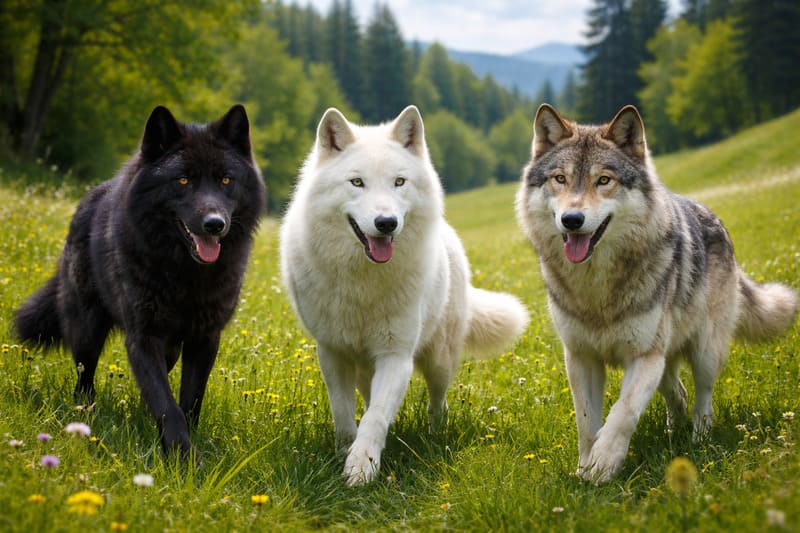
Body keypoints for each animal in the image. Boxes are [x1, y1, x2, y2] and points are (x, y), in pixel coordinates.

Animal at [15, 105, 266, 457]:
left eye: (226, 180)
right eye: (183, 180)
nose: (214, 224)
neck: (184, 274)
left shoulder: (204, 339)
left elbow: (190, 400)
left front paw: (188, 449)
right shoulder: (143, 338)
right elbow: (167, 405)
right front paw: (183, 457)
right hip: (87, 329)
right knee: (84, 376)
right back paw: (85, 414)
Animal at [280, 105, 529, 486]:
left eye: (399, 182)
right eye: (357, 182)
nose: (386, 223)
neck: (363, 280)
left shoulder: (396, 356)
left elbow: (375, 416)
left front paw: (361, 468)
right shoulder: (333, 354)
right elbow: (344, 414)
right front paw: (345, 453)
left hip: (438, 360)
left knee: (438, 402)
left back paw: (436, 434)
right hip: (366, 367)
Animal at [516, 104, 798, 483]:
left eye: (604, 180)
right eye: (560, 179)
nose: (572, 219)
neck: (597, 288)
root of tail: (713, 217)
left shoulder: (645, 358)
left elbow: (623, 413)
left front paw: (603, 464)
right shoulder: (580, 358)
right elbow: (587, 423)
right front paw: (584, 470)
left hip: (703, 352)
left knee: (703, 398)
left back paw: (698, 438)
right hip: (665, 363)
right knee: (677, 392)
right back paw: (672, 432)